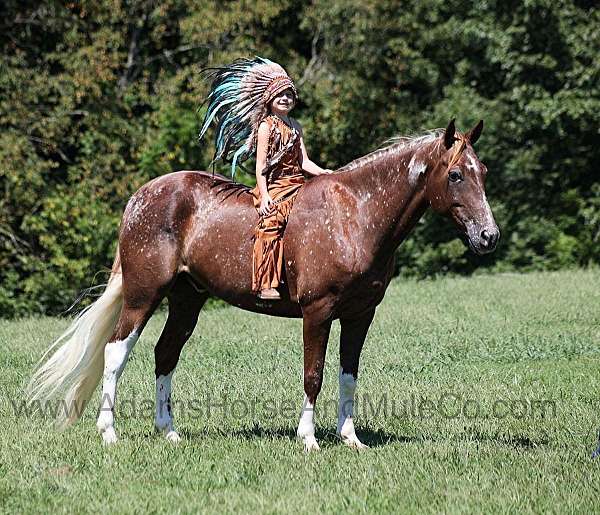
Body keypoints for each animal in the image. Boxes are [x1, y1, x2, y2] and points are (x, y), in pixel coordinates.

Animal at [27, 120, 496, 452]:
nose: (488, 236)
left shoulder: (360, 316)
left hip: (187, 299)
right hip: (144, 295)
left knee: (165, 354)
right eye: (456, 174)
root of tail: (140, 197)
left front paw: (351, 439)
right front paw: (309, 439)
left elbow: (348, 375)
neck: (355, 215)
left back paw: (169, 432)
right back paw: (109, 432)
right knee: (116, 352)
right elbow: (313, 375)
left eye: (483, 171)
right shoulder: (318, 312)